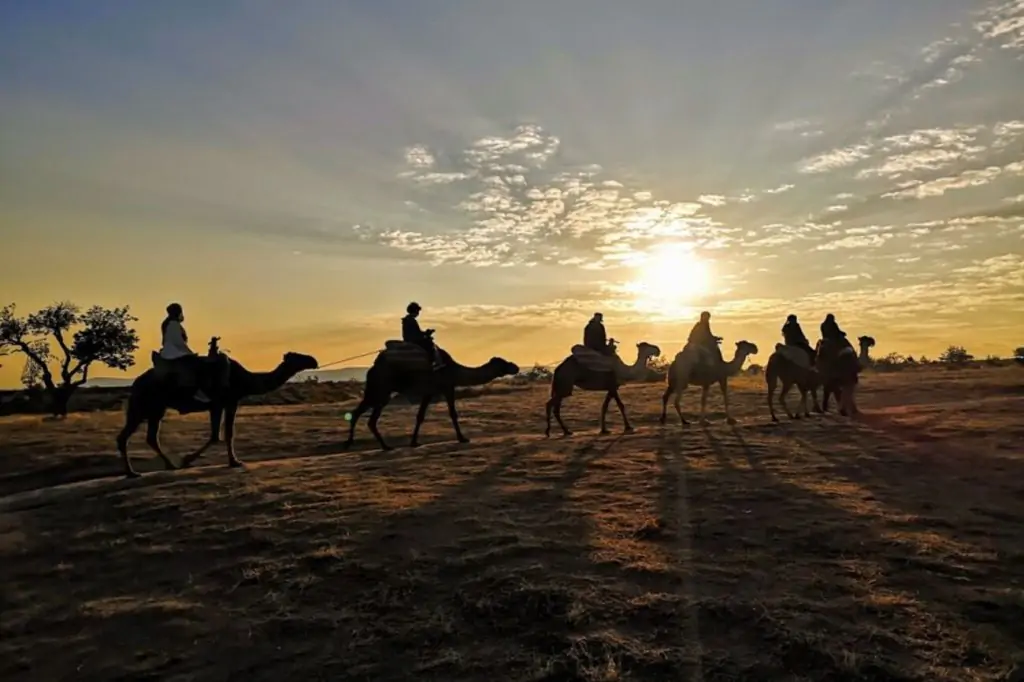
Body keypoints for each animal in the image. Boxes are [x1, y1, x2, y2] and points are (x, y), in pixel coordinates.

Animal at [116, 339, 317, 477]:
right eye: (297, 356)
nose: (313, 360)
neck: (245, 379)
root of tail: (136, 384)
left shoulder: (220, 404)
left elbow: (219, 435)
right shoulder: (226, 401)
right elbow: (222, 434)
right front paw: (233, 462)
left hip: (156, 409)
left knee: (150, 437)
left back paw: (166, 466)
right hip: (143, 404)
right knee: (125, 436)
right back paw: (133, 473)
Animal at [344, 342, 520, 448]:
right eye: (504, 363)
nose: (516, 366)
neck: (453, 370)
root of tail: (372, 369)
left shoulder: (429, 393)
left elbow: (420, 416)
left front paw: (414, 442)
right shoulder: (447, 388)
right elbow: (452, 414)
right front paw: (462, 438)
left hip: (379, 391)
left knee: (361, 414)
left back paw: (365, 444)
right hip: (381, 389)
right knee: (366, 416)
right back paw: (377, 445)